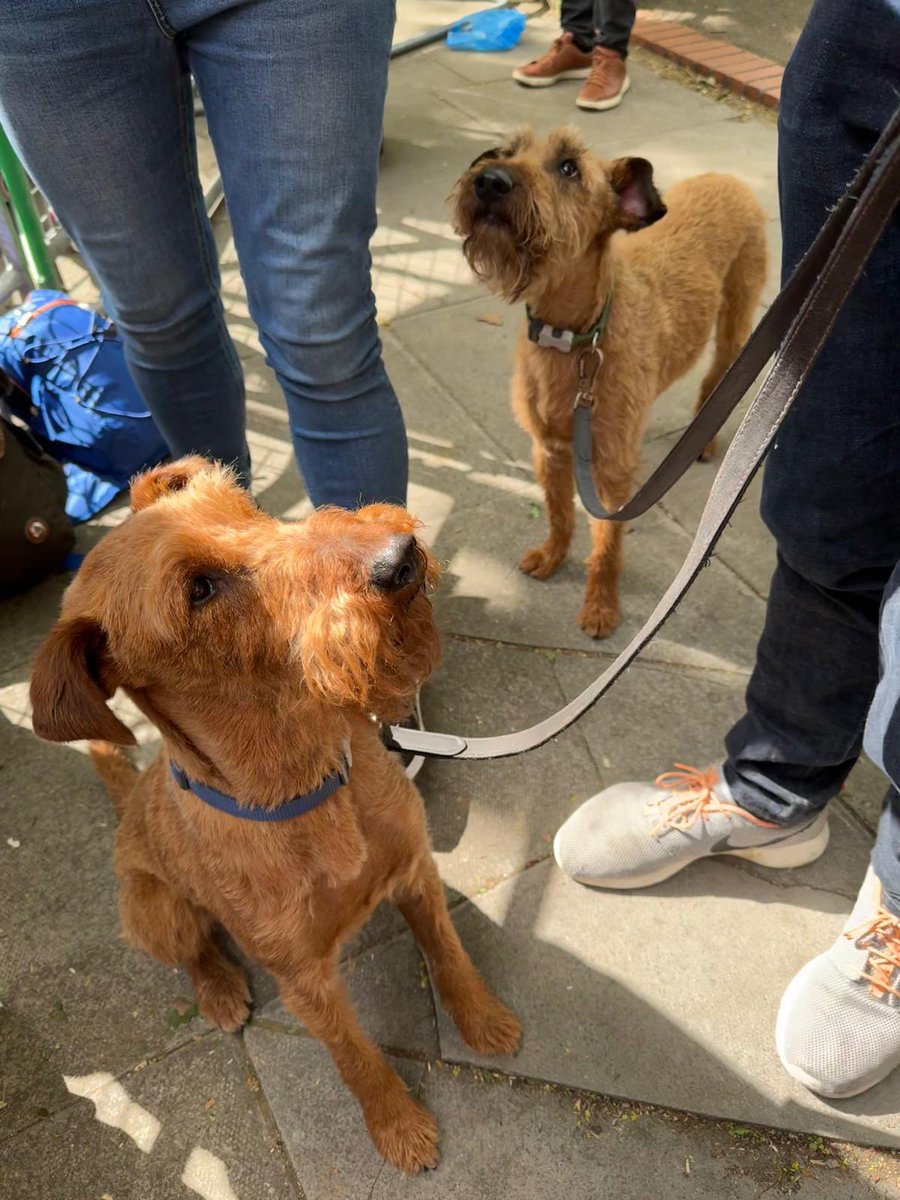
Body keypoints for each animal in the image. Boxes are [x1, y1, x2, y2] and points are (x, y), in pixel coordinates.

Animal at [30, 458, 520, 1171]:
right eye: (198, 589)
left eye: (242, 503)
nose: (397, 557)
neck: (306, 781)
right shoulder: (304, 980)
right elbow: (355, 1056)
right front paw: (398, 1126)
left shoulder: (416, 870)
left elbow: (450, 952)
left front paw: (483, 1019)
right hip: (154, 909)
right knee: (191, 950)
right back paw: (219, 989)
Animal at [451, 124, 768, 638]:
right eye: (506, 151)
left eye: (569, 167)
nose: (490, 180)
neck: (572, 340)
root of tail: (729, 178)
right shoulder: (550, 450)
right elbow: (560, 514)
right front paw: (553, 557)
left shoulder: (612, 473)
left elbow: (607, 545)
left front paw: (601, 606)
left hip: (737, 324)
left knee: (717, 380)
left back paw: (704, 441)